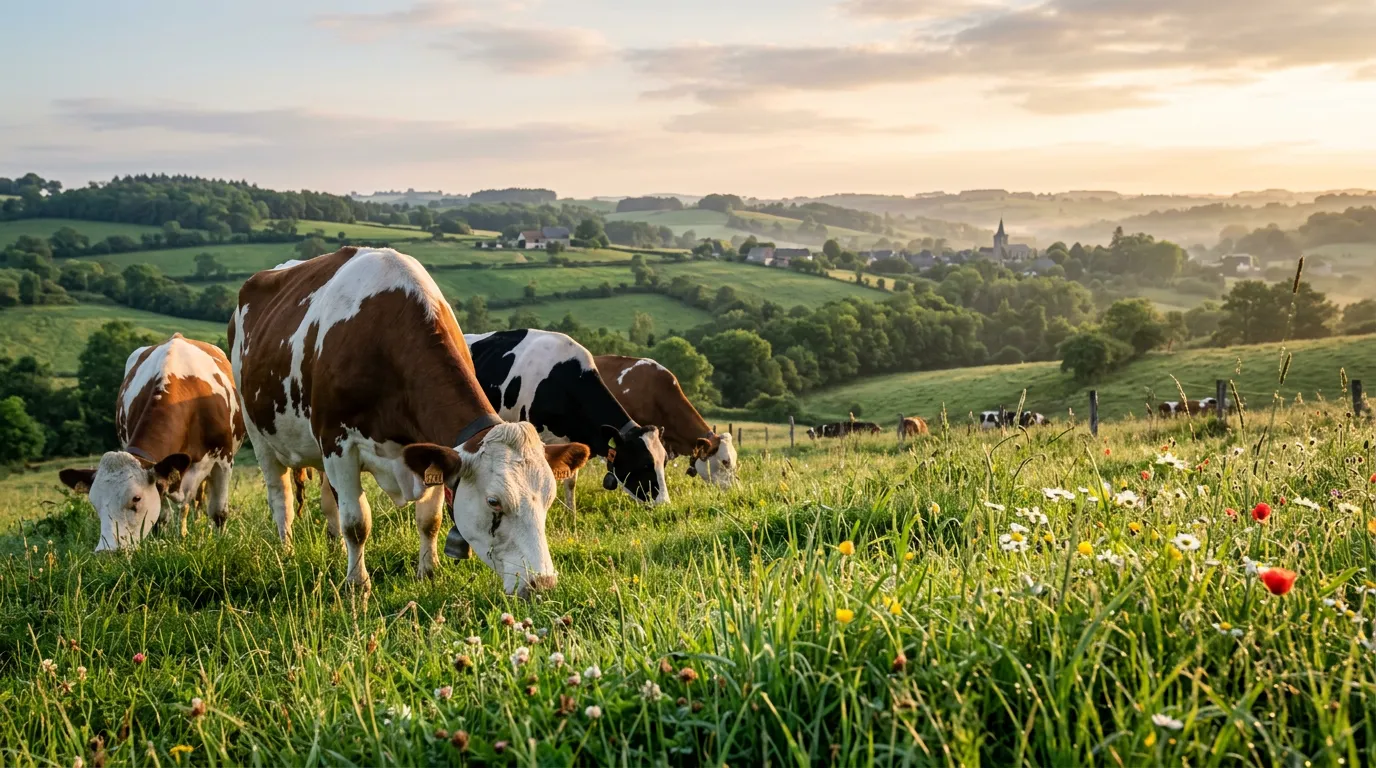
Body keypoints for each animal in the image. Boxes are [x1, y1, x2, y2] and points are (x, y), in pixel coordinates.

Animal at [59, 334, 246, 551]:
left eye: (136, 499)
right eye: (94, 503)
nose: (107, 552)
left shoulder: (223, 461)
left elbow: (218, 512)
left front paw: (220, 543)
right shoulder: (161, 473)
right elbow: (162, 517)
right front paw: (161, 544)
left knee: (197, 501)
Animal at [230, 247, 590, 596]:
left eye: (549, 499)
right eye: (493, 502)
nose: (542, 583)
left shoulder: (430, 449)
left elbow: (429, 520)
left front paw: (428, 574)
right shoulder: (338, 444)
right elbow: (356, 522)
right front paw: (357, 586)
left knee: (329, 502)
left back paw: (333, 551)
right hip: (258, 432)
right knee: (281, 496)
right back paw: (286, 552)